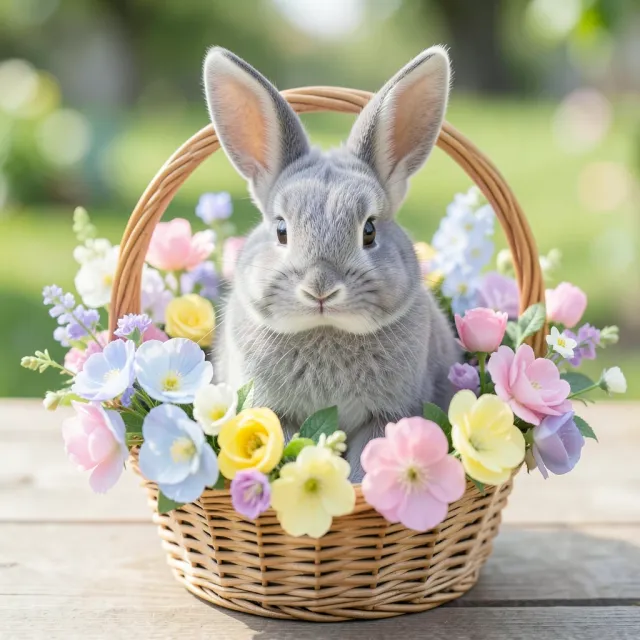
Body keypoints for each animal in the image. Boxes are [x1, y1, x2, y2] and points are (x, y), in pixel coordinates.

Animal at [203, 46, 460, 479]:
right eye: (281, 230)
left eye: (369, 230)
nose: (320, 288)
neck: (326, 329)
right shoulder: (272, 414)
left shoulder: (387, 416)